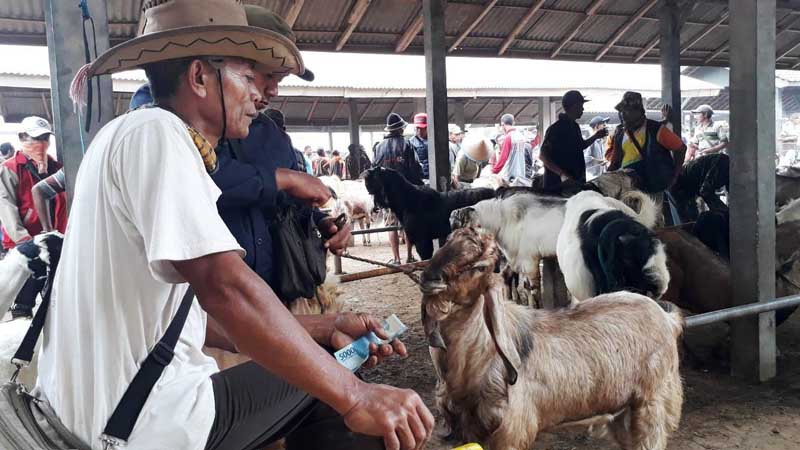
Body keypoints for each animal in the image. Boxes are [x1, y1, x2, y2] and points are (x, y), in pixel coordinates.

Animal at [422, 229, 684, 450]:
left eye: (479, 266)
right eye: (445, 243)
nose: (430, 279)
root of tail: (668, 319)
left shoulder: (509, 432)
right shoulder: (471, 430)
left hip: (653, 402)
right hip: (622, 409)